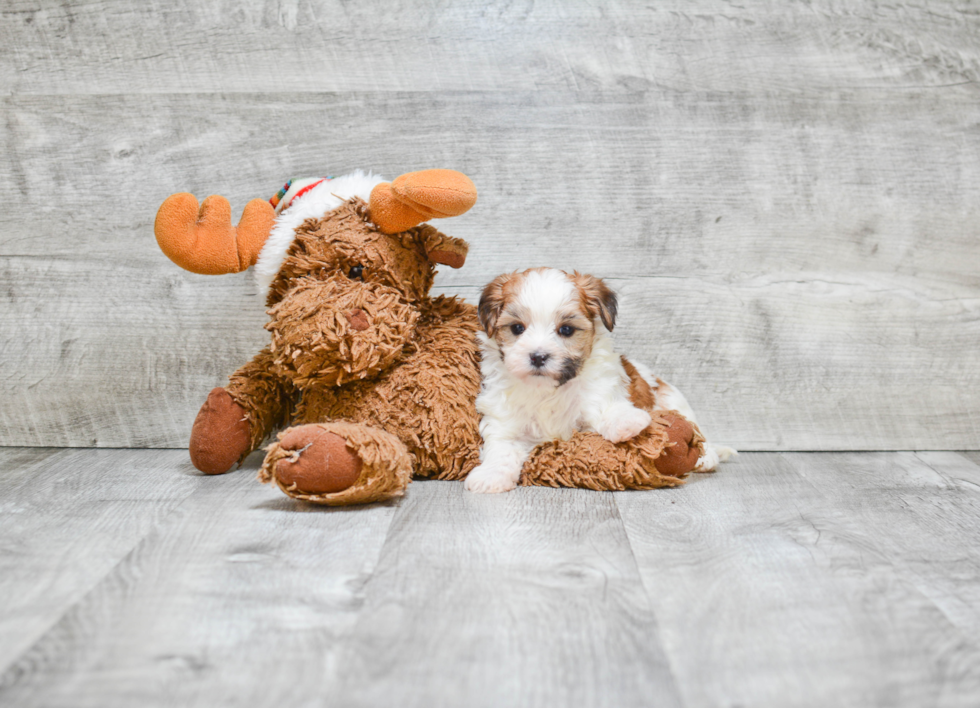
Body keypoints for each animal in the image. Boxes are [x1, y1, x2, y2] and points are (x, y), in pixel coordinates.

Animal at [468, 268, 736, 496]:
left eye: (566, 330)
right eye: (517, 328)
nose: (538, 356)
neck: (547, 390)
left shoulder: (597, 393)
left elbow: (604, 407)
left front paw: (625, 421)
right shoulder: (504, 419)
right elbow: (501, 449)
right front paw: (490, 476)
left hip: (674, 401)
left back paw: (707, 457)